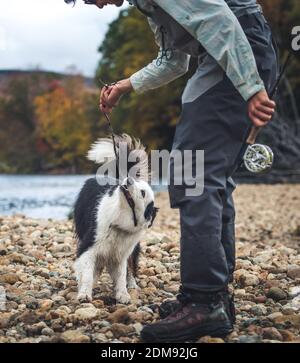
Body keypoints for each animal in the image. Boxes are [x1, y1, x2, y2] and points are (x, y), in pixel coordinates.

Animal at [74, 134, 158, 304]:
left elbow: (121, 274)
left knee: (130, 267)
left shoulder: (121, 253)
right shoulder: (89, 244)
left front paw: (122, 294)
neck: (120, 222)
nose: (128, 180)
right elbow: (86, 272)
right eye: (136, 183)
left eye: (143, 193)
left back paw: (131, 284)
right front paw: (84, 293)